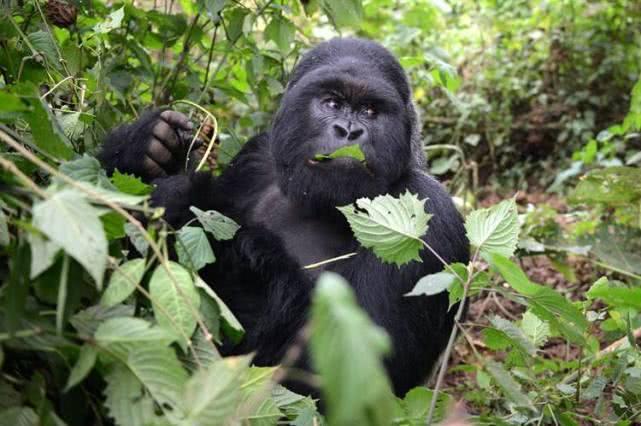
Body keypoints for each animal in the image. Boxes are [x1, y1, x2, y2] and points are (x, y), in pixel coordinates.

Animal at [100, 36, 470, 396]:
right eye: (332, 104)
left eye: (369, 110)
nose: (348, 131)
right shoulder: (258, 154)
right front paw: (145, 146)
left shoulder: (430, 215)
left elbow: (334, 378)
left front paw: (193, 206)